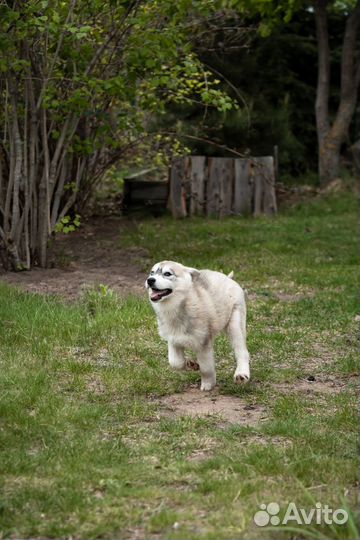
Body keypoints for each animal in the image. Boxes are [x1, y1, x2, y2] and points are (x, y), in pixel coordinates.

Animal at [146, 260, 250, 390]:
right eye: (152, 272)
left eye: (167, 273)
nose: (150, 280)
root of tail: (227, 277)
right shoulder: (174, 339)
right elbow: (175, 362)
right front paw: (191, 364)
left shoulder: (203, 343)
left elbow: (206, 368)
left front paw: (208, 384)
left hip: (235, 324)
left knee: (242, 351)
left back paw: (242, 374)